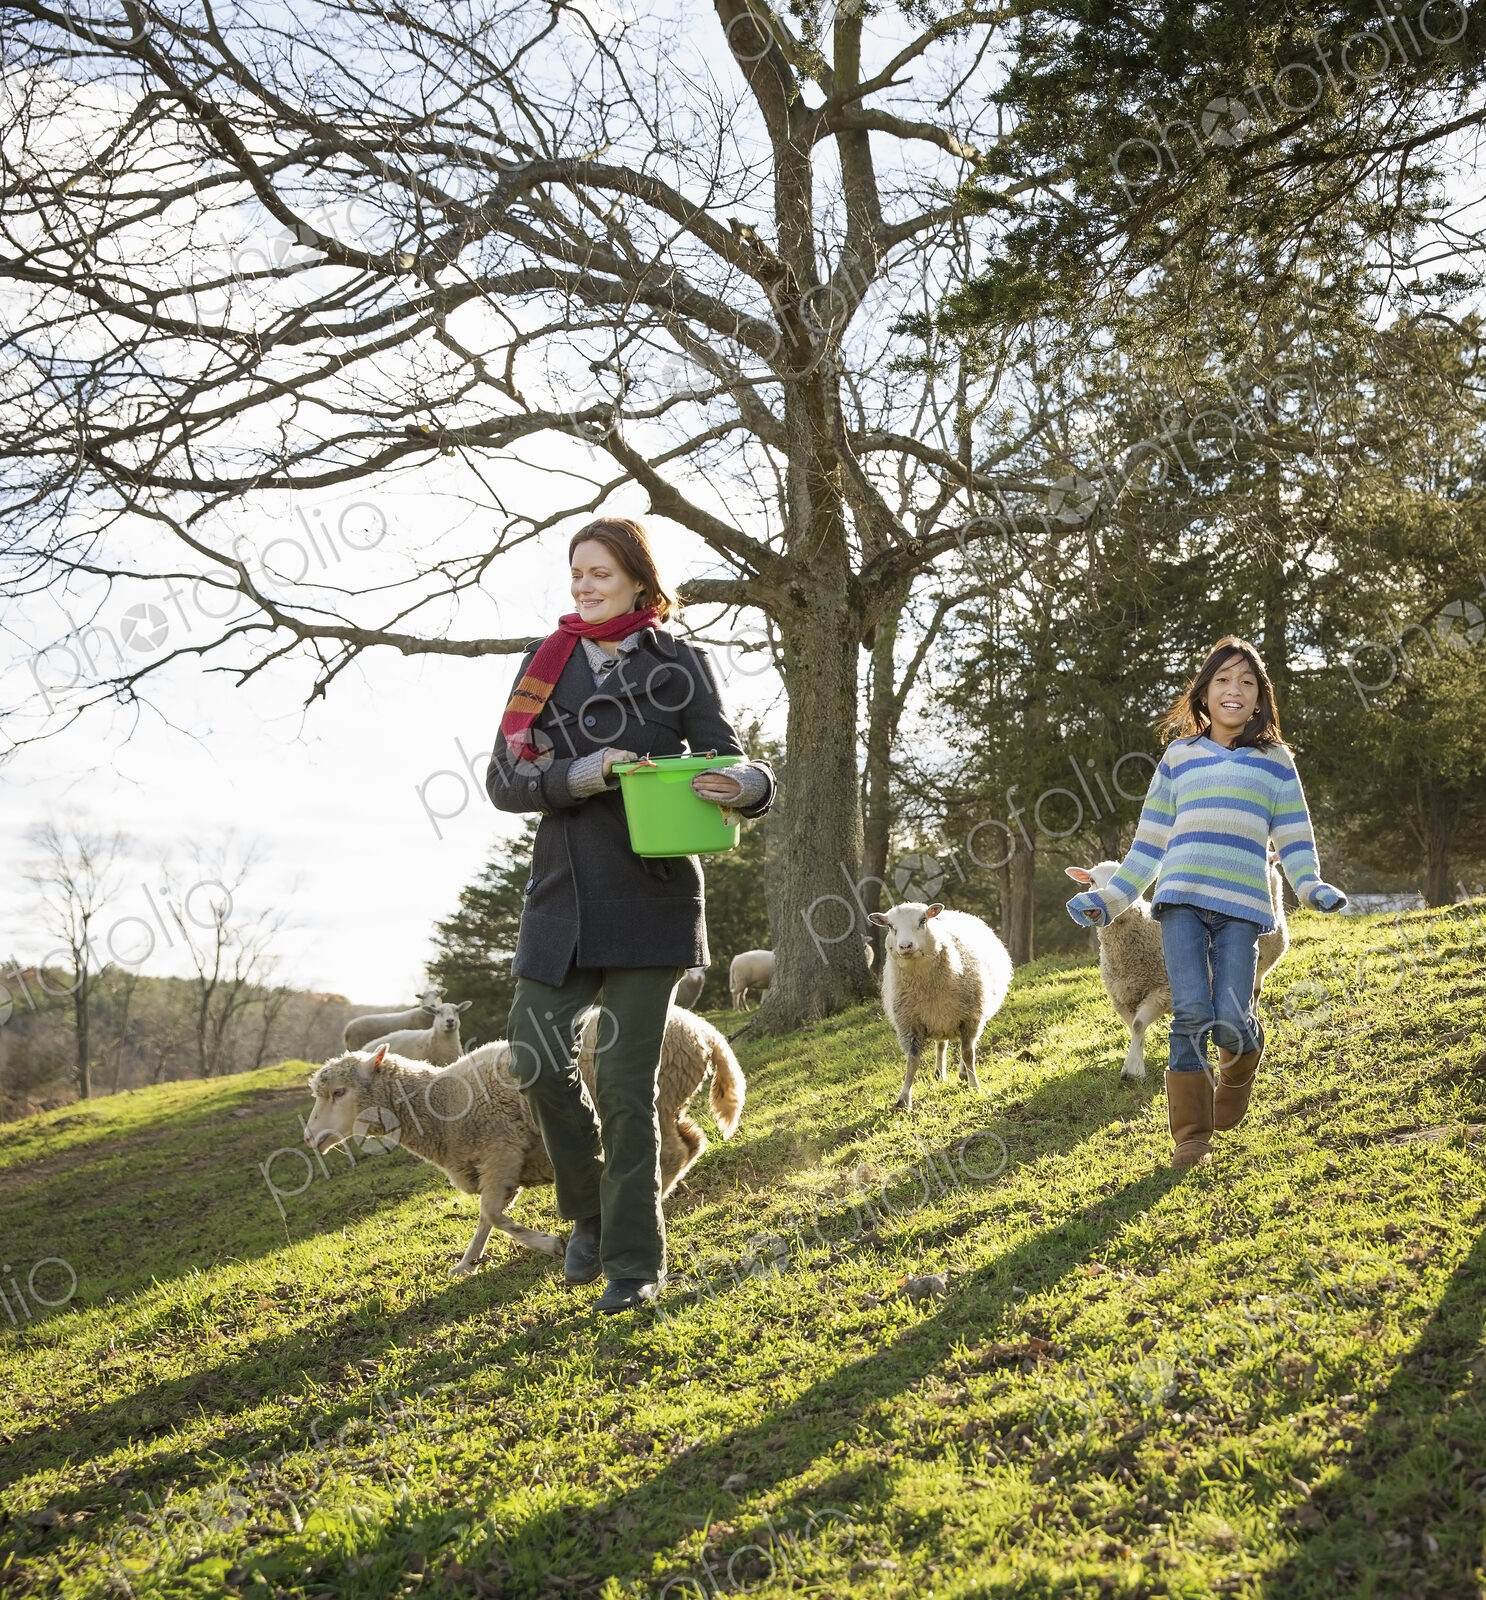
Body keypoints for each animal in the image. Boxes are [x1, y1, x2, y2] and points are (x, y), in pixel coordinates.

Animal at [303, 1006, 745, 1277]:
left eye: (339, 1092)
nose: (308, 1137)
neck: (440, 1101)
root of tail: (704, 1029)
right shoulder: (493, 1164)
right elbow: (486, 1217)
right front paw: (466, 1263)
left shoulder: (501, 1149)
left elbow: (493, 1215)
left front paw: (549, 1244)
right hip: (670, 1100)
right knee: (691, 1142)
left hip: (652, 1092)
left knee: (672, 1151)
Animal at [867, 902, 1014, 1111]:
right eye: (890, 926)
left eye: (923, 920)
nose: (905, 946)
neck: (927, 988)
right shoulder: (909, 1025)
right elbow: (912, 1061)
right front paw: (903, 1099)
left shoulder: (970, 1018)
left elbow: (968, 1053)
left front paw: (974, 1085)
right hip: (940, 1019)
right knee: (941, 1043)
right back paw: (939, 1072)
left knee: (968, 1046)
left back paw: (963, 1073)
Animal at [1065, 851, 1290, 1081]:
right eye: (1092, 881)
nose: (1096, 908)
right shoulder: (1122, 998)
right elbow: (1135, 1027)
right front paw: (1134, 1061)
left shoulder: (1163, 991)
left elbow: (1138, 1024)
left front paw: (1133, 1070)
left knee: (1251, 996)